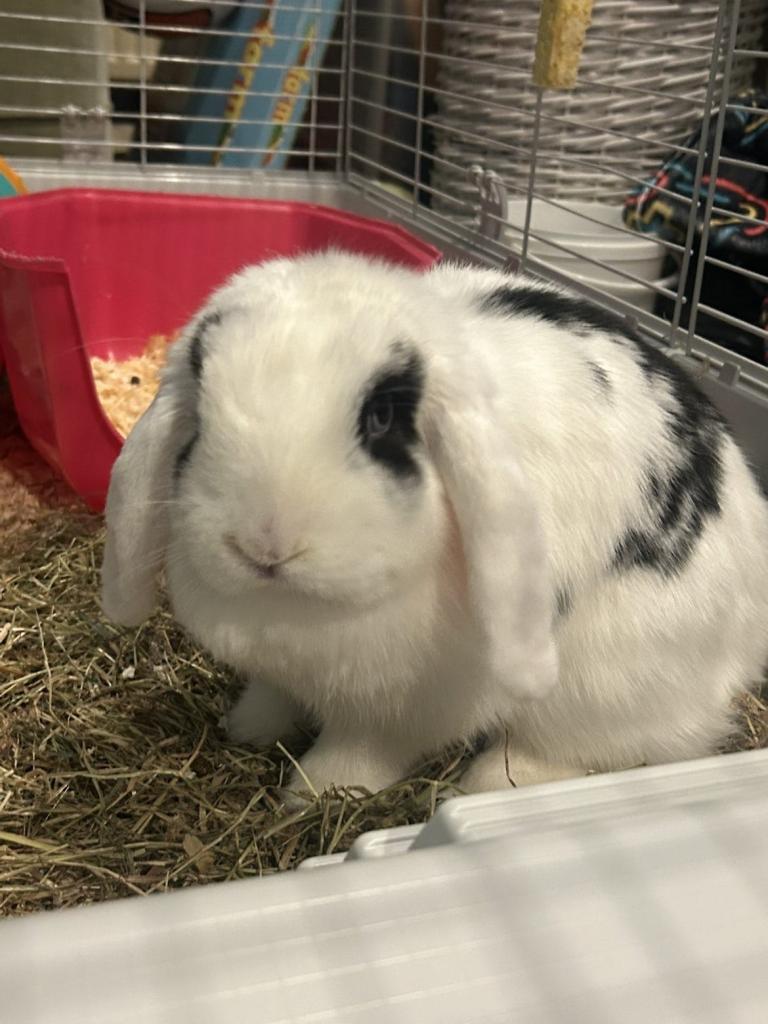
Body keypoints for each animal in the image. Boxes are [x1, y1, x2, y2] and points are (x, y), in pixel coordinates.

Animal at [101, 250, 768, 800]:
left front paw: (315, 793)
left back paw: (489, 784)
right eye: (201, 417)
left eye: (381, 418)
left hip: (606, 680)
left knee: (587, 746)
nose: (265, 545)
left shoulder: (402, 710)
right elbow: (273, 696)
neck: (294, 606)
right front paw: (246, 727)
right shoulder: (281, 673)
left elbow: (363, 749)